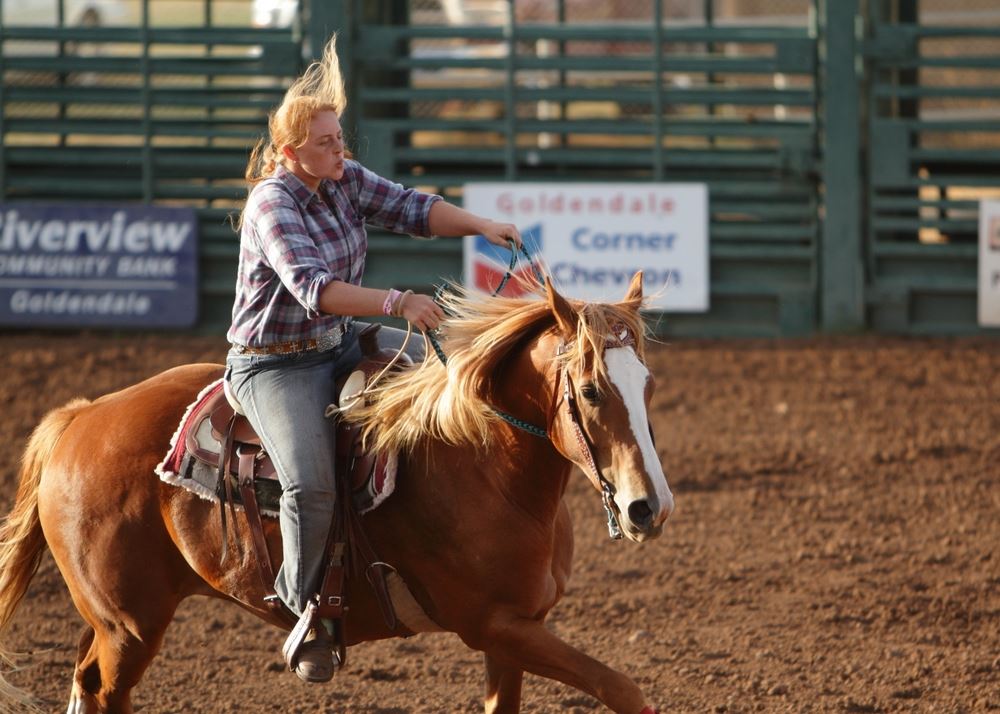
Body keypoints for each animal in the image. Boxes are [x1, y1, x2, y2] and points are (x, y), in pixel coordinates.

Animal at [0, 272, 673, 714]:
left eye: (648, 384)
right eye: (590, 390)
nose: (649, 508)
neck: (484, 469)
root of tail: (81, 418)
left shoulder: (516, 633)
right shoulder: (493, 625)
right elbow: (625, 690)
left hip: (110, 621)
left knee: (83, 680)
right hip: (130, 626)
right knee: (103, 688)